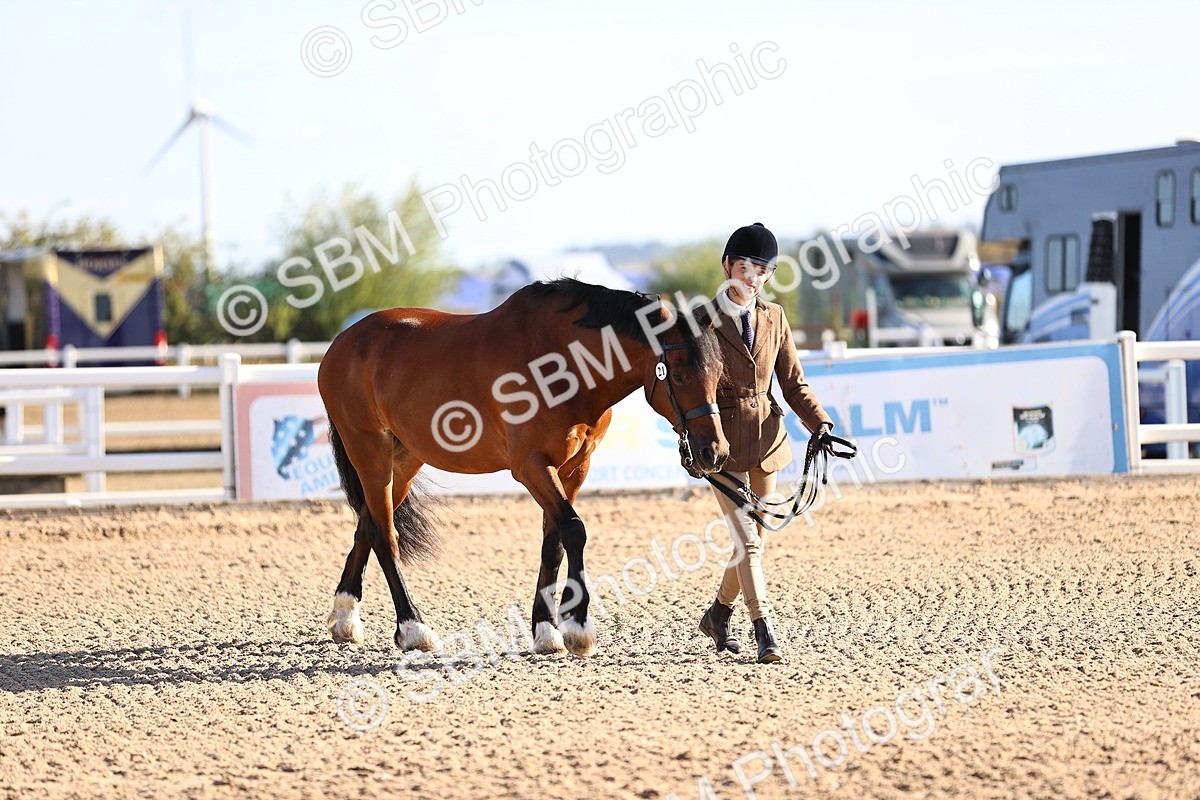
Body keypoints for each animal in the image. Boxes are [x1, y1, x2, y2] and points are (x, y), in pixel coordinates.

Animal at [318, 278, 730, 657]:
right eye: (679, 375)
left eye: (718, 373)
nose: (714, 452)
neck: (563, 363)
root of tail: (341, 343)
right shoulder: (531, 466)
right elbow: (574, 530)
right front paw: (577, 627)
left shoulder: (574, 468)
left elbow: (554, 544)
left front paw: (546, 630)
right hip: (369, 450)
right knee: (384, 536)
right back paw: (413, 627)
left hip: (403, 460)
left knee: (367, 526)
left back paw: (345, 618)